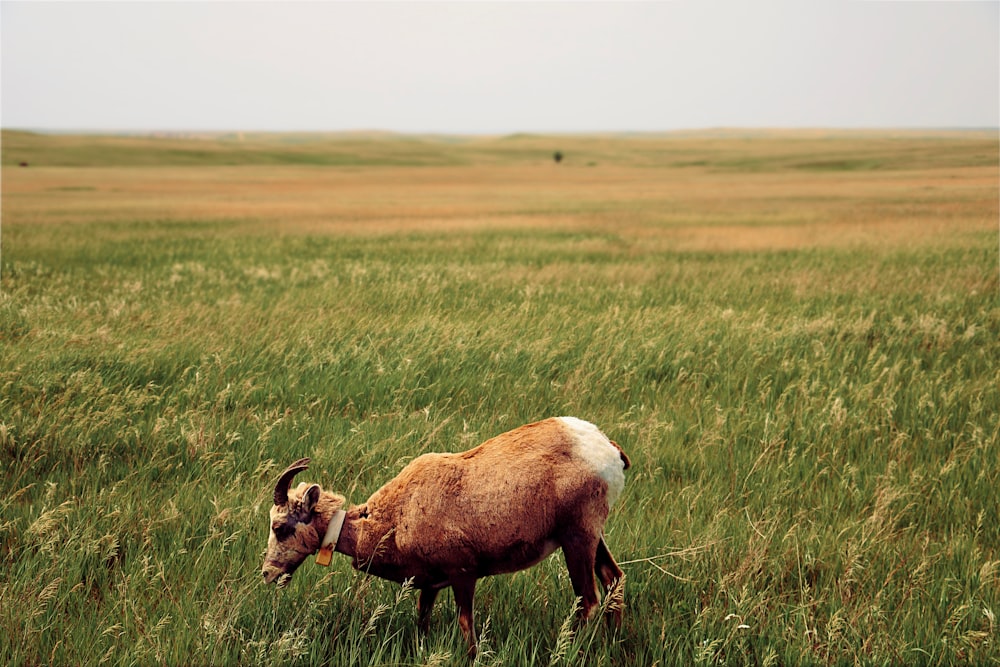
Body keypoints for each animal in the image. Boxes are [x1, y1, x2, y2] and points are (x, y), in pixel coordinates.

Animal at [262, 418, 628, 656]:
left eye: (280, 527)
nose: (267, 574)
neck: (401, 509)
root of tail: (605, 446)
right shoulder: (430, 584)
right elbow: (422, 620)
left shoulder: (463, 575)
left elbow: (467, 626)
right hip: (592, 537)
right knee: (613, 579)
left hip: (577, 539)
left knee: (588, 600)